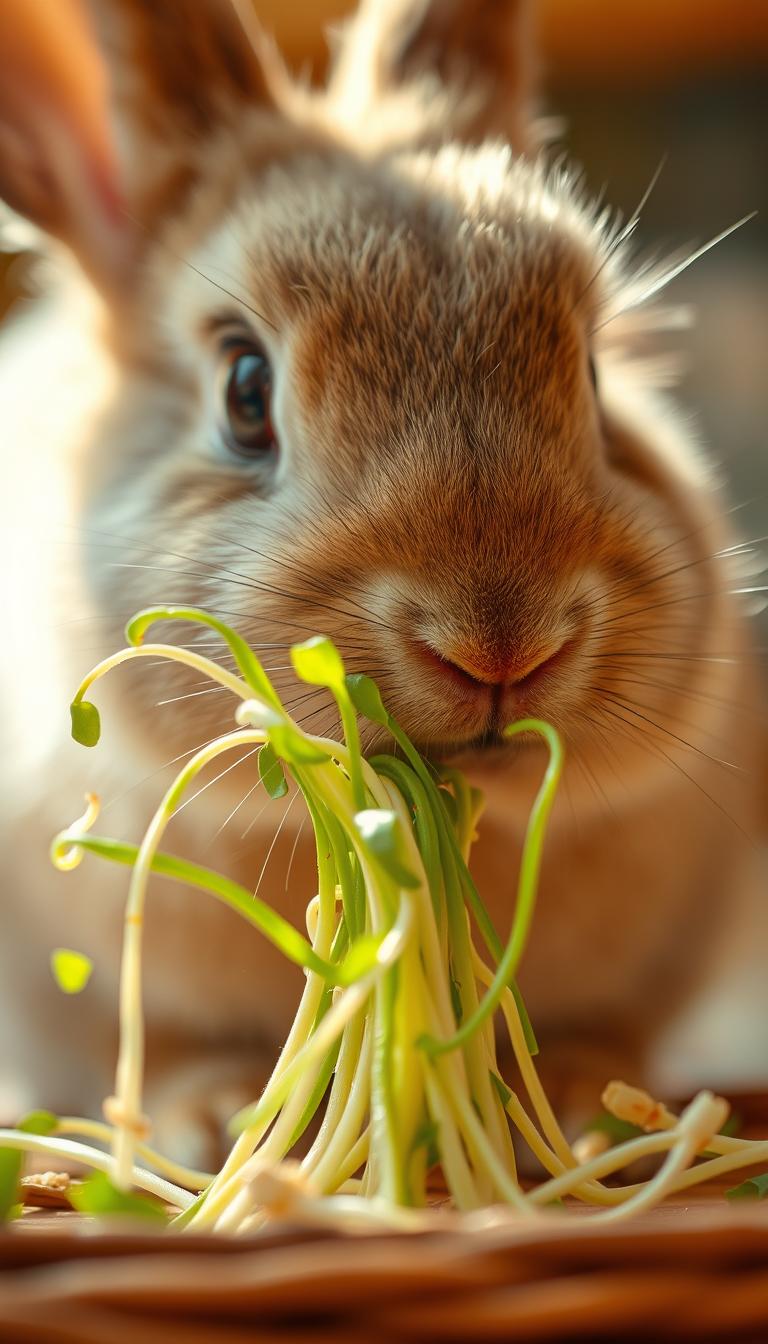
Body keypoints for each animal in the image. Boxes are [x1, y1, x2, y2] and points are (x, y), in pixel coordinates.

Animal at [0, 0, 765, 1168]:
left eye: (595, 375)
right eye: (245, 390)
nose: (501, 642)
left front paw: (578, 1098)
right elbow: (156, 1046)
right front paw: (212, 1113)